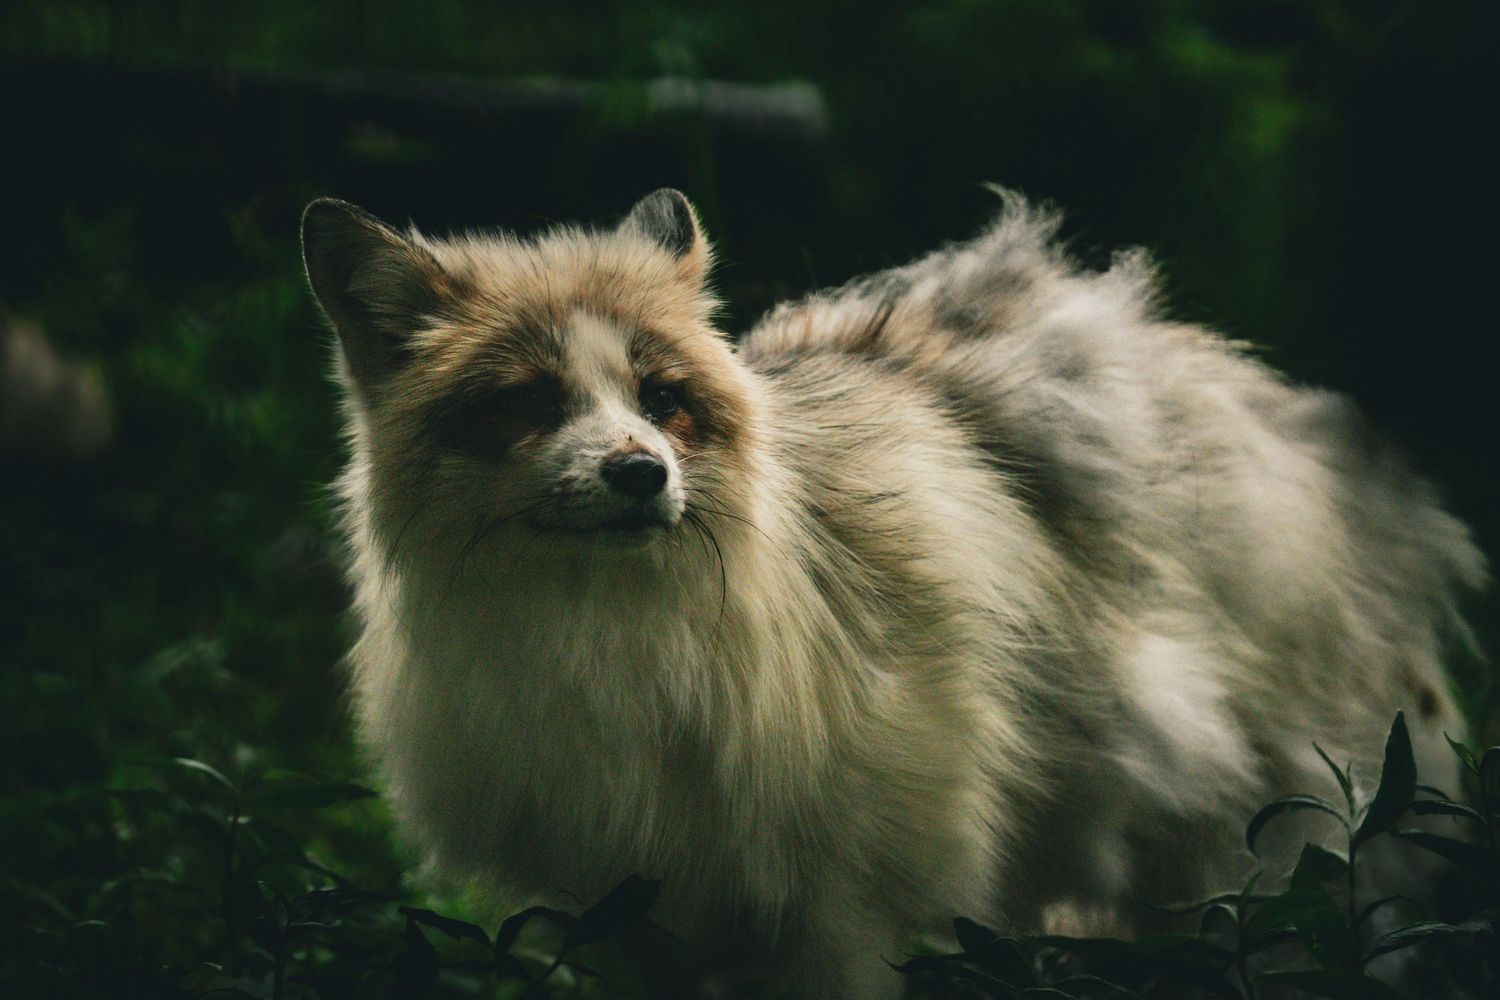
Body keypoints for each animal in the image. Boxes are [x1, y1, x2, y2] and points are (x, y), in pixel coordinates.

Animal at [301, 188, 1483, 998]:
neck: (612, 639)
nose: (640, 473)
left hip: (1252, 872)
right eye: (528, 403)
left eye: (663, 398)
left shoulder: (842, 920)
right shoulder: (631, 926)